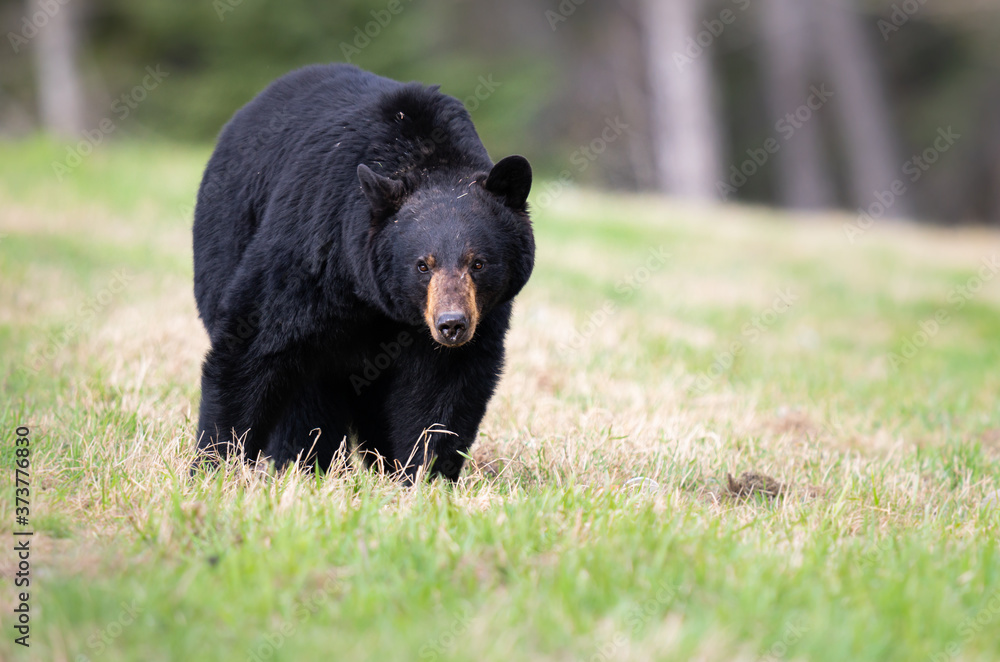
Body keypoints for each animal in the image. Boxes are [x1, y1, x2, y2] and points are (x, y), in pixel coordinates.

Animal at [192, 64, 534, 481]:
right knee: (307, 398)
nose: (451, 324)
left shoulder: (479, 318)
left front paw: (424, 474)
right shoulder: (312, 250)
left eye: (478, 262)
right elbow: (253, 344)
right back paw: (303, 462)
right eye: (422, 264)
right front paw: (213, 465)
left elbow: (444, 390)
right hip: (226, 241)